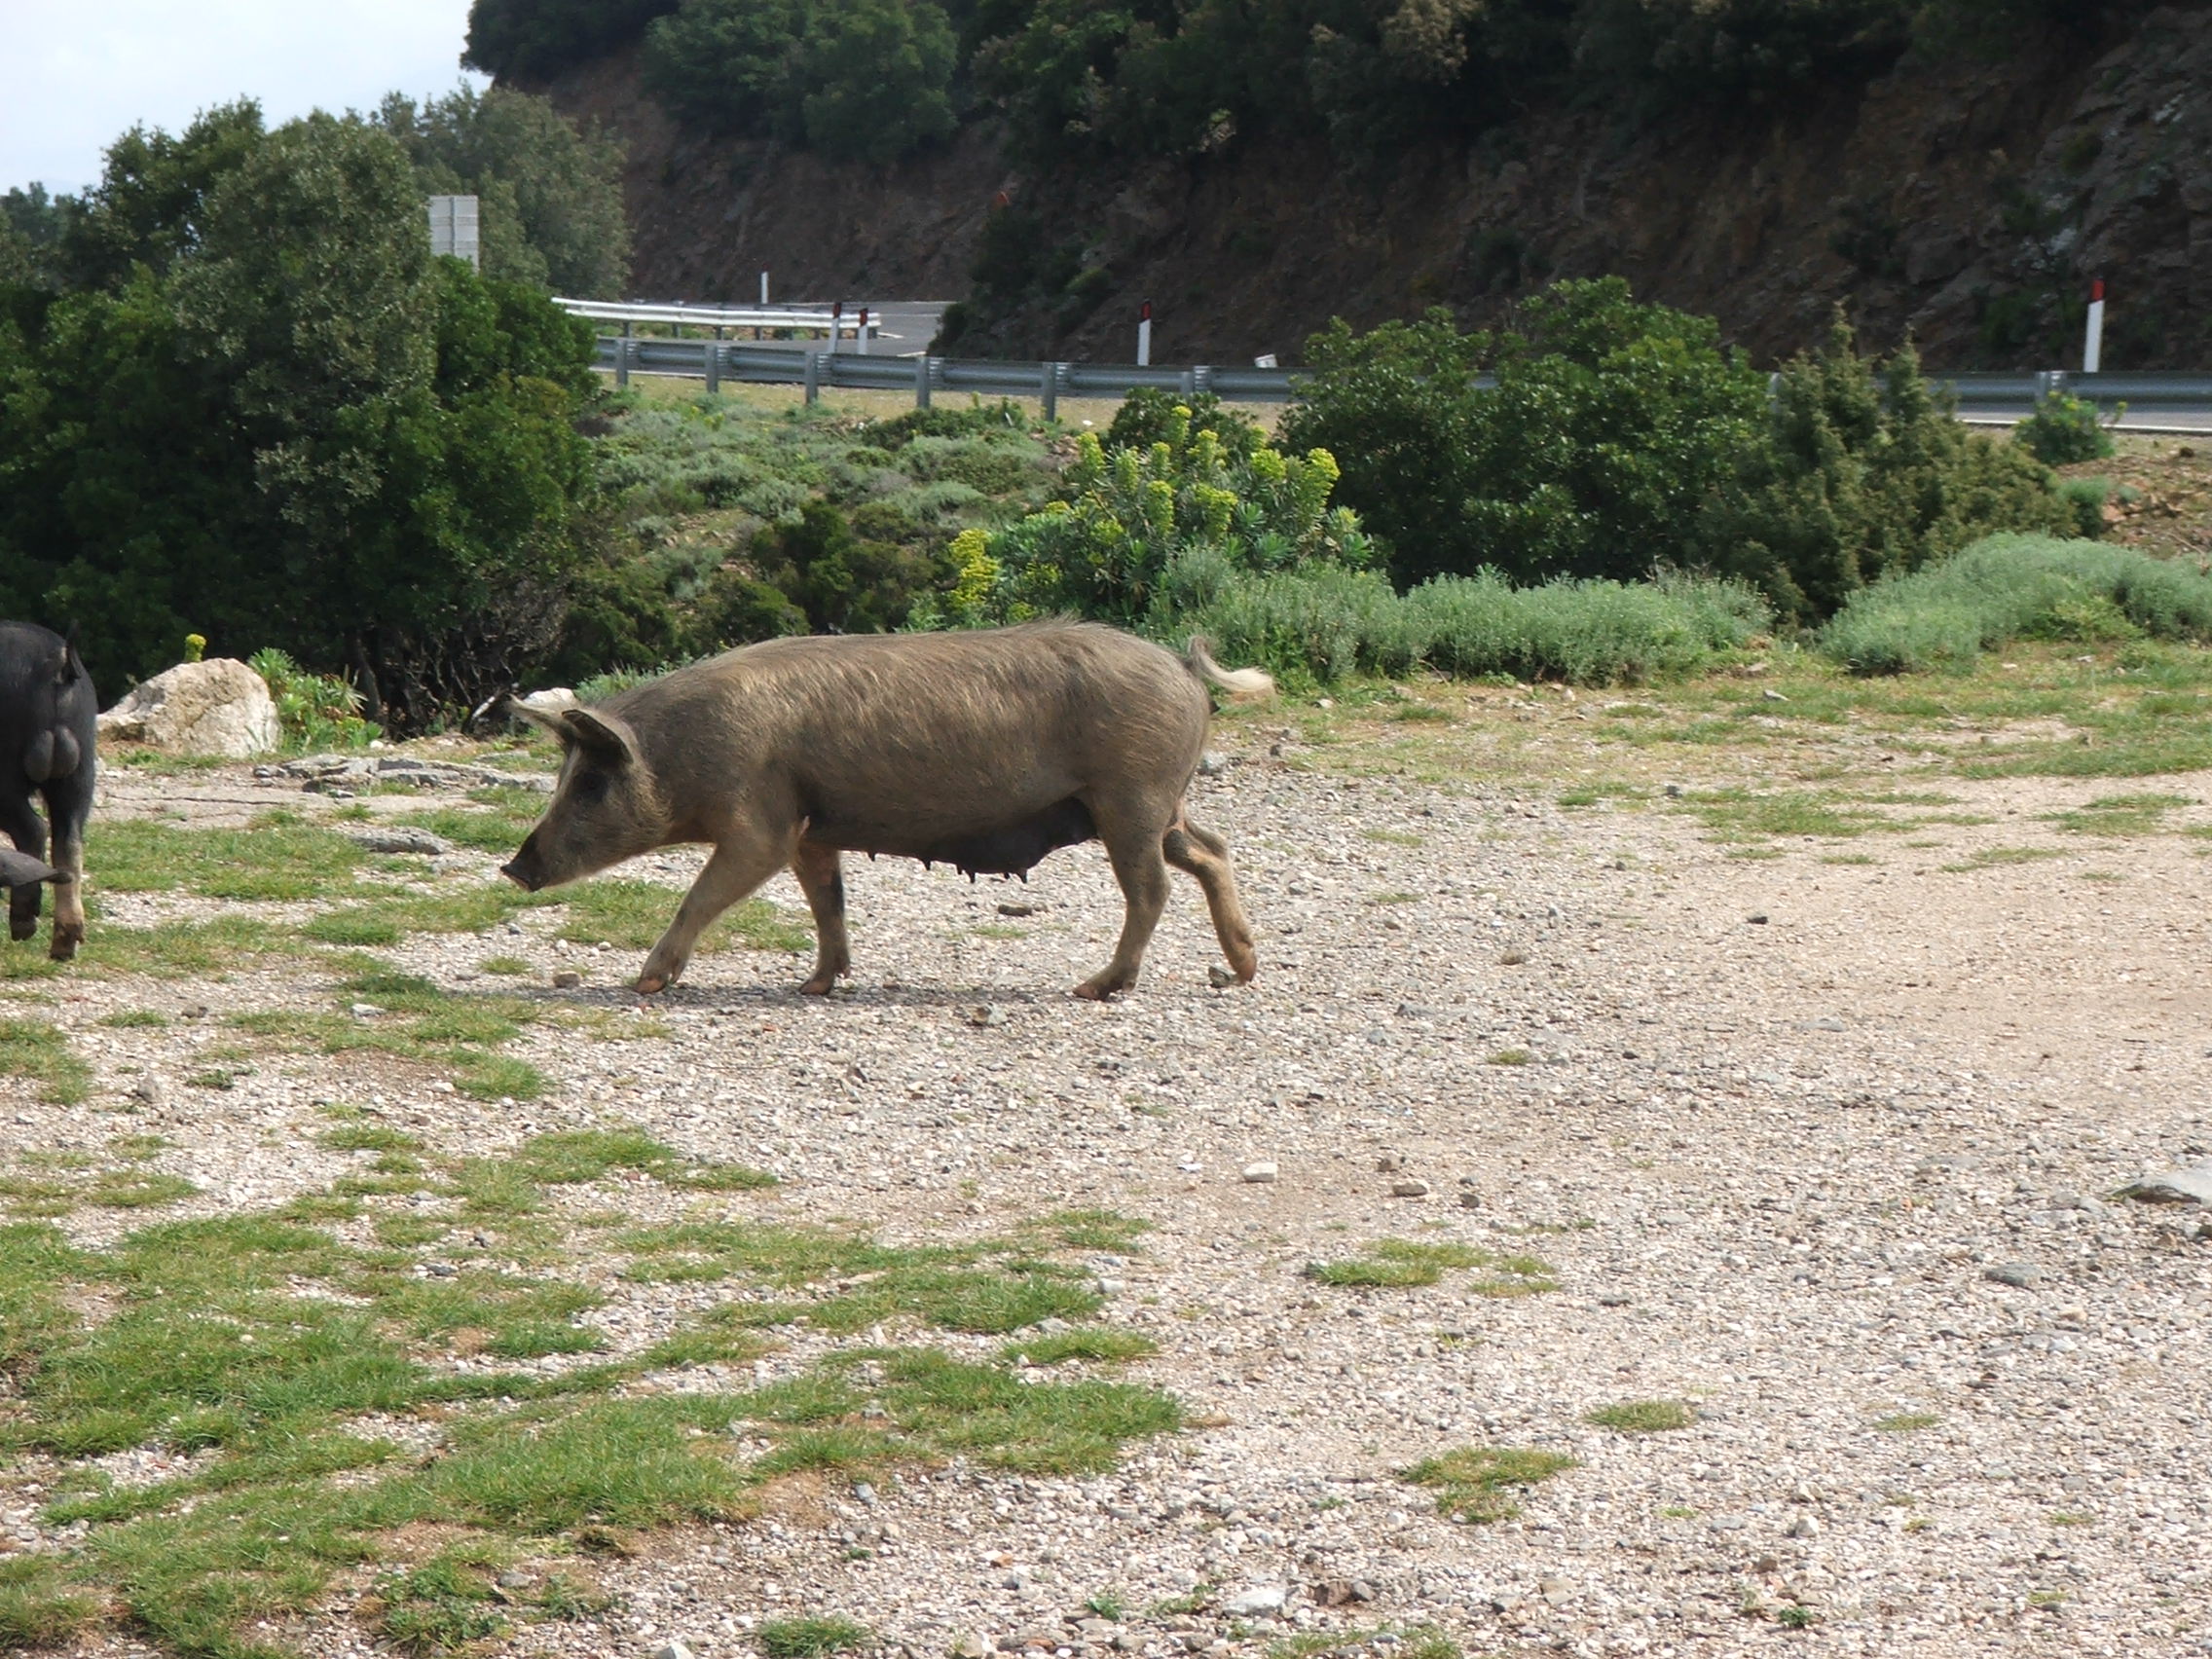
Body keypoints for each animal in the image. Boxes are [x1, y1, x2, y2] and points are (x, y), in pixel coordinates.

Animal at [495, 623, 1273, 999]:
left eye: (590, 784)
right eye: (563, 776)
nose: (512, 867)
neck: (685, 754)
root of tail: (1181, 669)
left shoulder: (761, 819)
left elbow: (707, 892)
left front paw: (645, 983)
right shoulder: (812, 827)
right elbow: (826, 899)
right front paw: (814, 985)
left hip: (1130, 796)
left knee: (1153, 887)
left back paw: (1095, 989)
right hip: (1159, 804)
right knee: (1212, 850)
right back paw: (1240, 969)